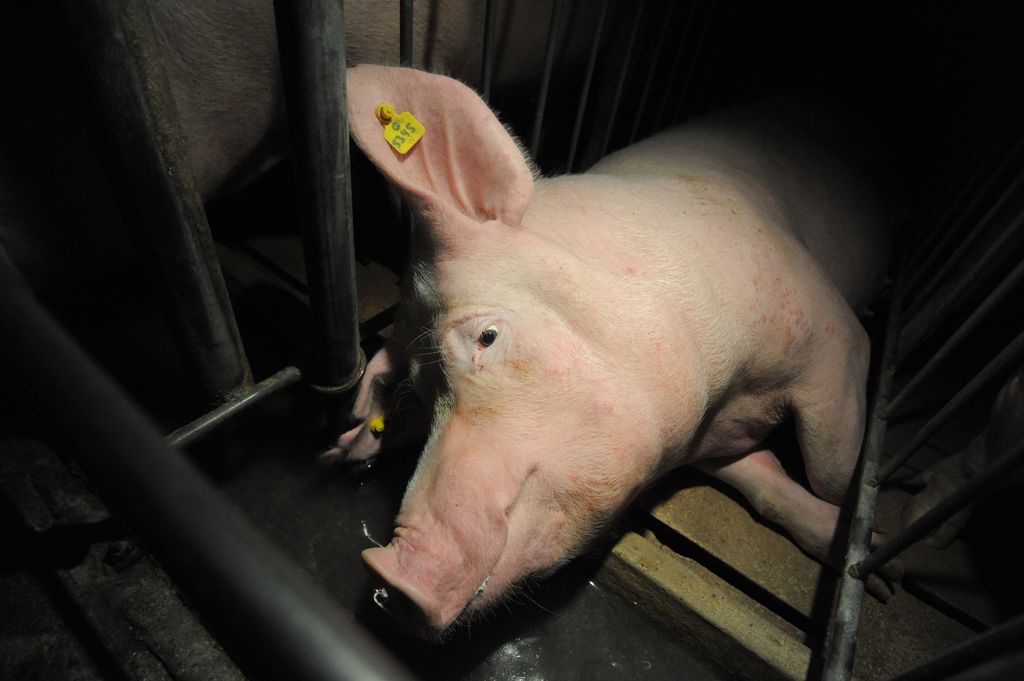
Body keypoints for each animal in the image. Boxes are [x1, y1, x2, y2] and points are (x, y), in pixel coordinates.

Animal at [327, 64, 895, 634]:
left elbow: (832, 471)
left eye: (487, 337)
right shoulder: (709, 437)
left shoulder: (830, 333)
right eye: (423, 399)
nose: (383, 568)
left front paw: (884, 570)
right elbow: (763, 483)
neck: (723, 399)